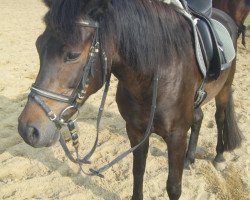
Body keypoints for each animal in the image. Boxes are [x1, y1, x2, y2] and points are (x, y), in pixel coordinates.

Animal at [18, 0, 242, 199]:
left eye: (72, 54)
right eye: (38, 45)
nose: (28, 130)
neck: (154, 77)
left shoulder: (176, 136)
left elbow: (173, 187)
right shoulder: (135, 130)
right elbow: (138, 173)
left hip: (224, 90)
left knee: (220, 118)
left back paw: (219, 156)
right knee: (198, 118)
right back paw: (189, 158)